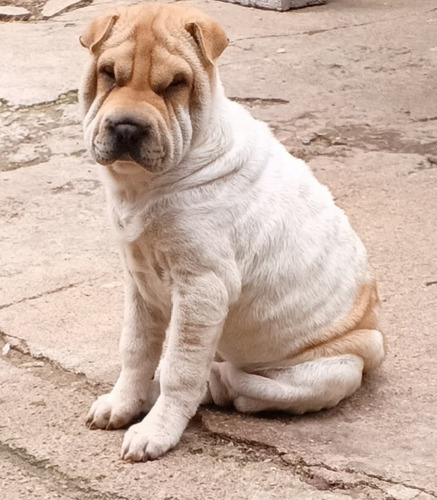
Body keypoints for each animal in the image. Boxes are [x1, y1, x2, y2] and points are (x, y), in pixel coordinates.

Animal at [80, 2, 384, 460]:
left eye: (176, 84)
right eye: (109, 73)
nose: (128, 128)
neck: (145, 186)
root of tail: (373, 341)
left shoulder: (203, 287)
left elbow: (180, 369)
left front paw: (156, 431)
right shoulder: (139, 281)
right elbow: (135, 348)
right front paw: (122, 403)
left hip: (333, 370)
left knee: (233, 384)